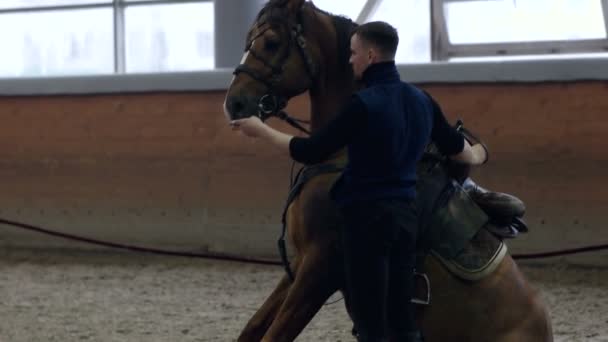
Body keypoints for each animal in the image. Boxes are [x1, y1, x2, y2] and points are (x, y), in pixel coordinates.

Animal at [222, 1, 552, 340]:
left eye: (271, 42)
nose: (234, 103)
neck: (342, 152)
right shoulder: (301, 261)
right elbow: (253, 327)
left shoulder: (320, 268)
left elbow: (274, 333)